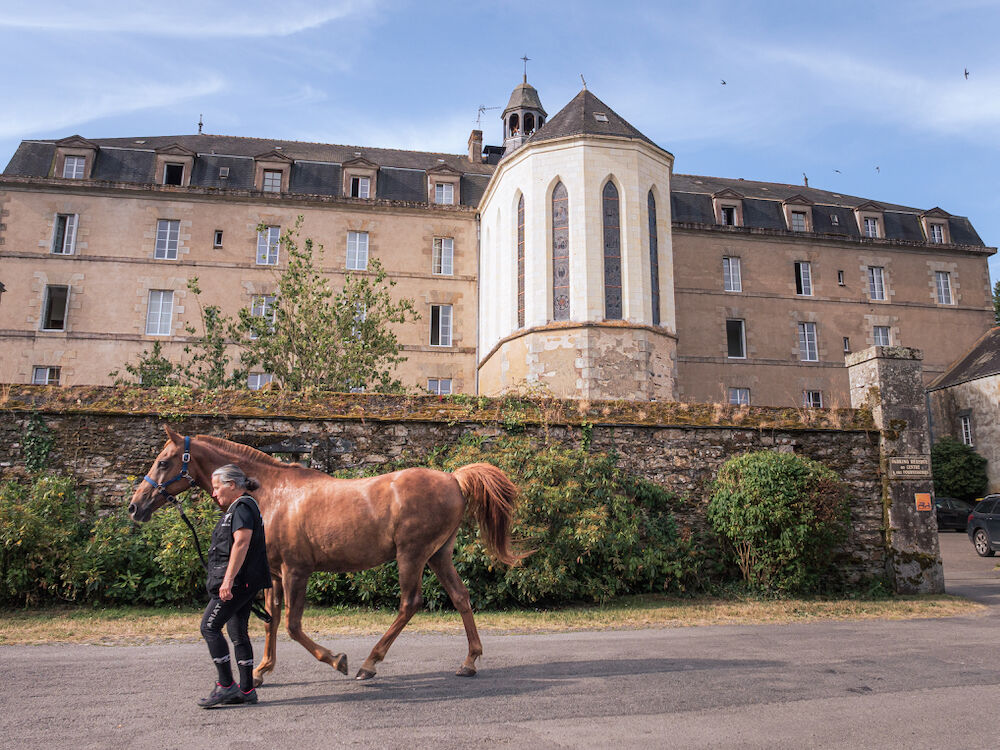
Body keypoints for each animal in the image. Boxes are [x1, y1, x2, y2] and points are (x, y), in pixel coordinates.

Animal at [128, 425, 525, 684]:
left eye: (163, 461)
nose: (135, 506)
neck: (271, 493)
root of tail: (453, 479)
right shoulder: (273, 574)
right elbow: (272, 620)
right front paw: (260, 671)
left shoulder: (296, 571)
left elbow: (293, 625)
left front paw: (337, 660)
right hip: (438, 554)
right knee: (460, 596)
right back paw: (469, 661)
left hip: (412, 555)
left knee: (409, 603)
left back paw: (369, 664)